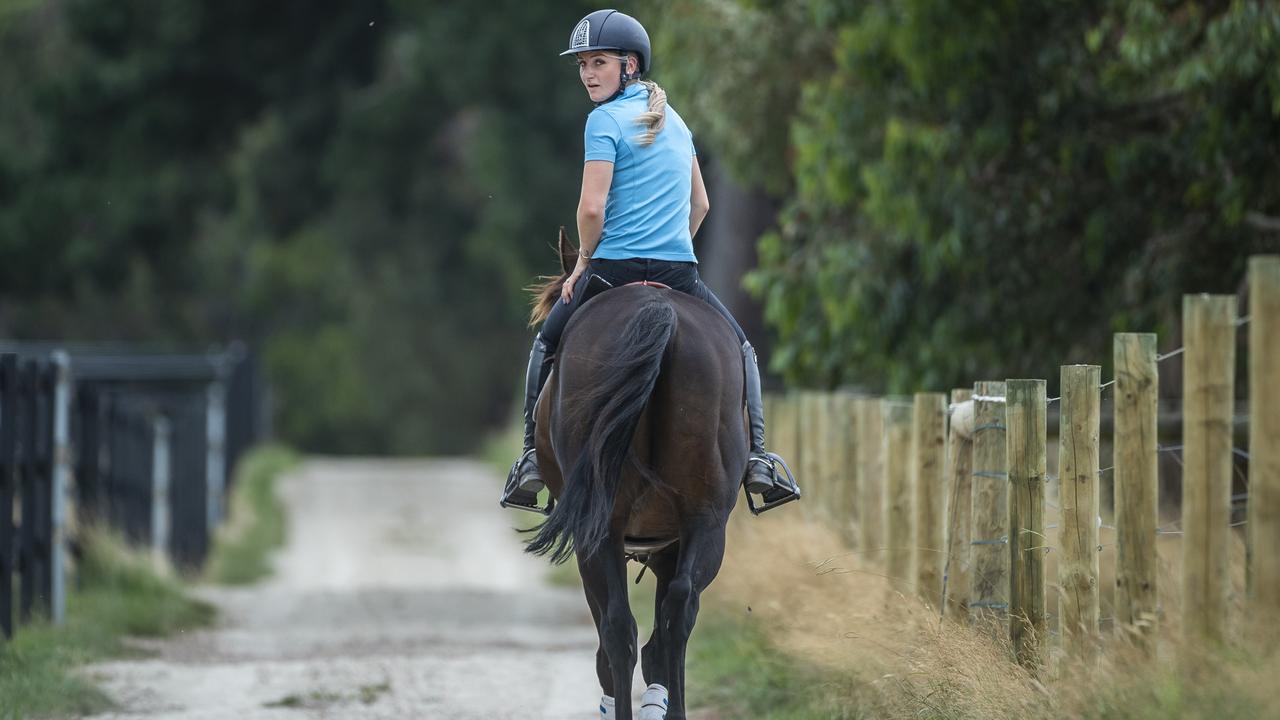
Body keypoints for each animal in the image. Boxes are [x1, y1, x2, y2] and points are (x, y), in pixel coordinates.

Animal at [522, 229, 747, 717]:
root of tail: (658, 311)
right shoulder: (670, 542)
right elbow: (663, 627)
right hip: (706, 519)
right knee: (679, 610)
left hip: (602, 527)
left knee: (619, 628)